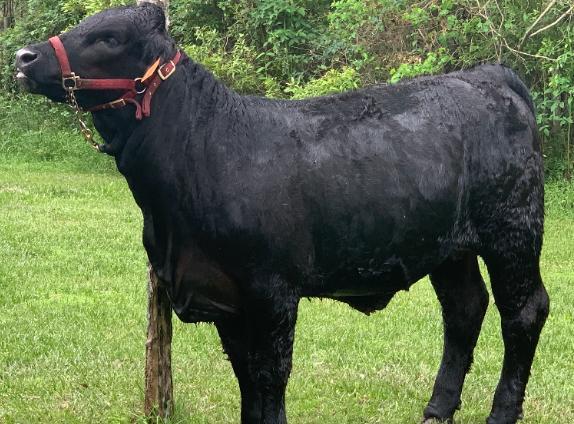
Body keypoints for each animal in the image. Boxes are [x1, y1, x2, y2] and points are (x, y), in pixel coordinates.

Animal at [15, 4, 552, 424]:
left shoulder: (272, 291)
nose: (24, 57)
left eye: (109, 36)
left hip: (512, 230)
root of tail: (487, 75)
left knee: (524, 311)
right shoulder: (225, 298)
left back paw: (501, 412)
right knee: (464, 308)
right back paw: (437, 408)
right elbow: (246, 379)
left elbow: (270, 376)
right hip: (449, 247)